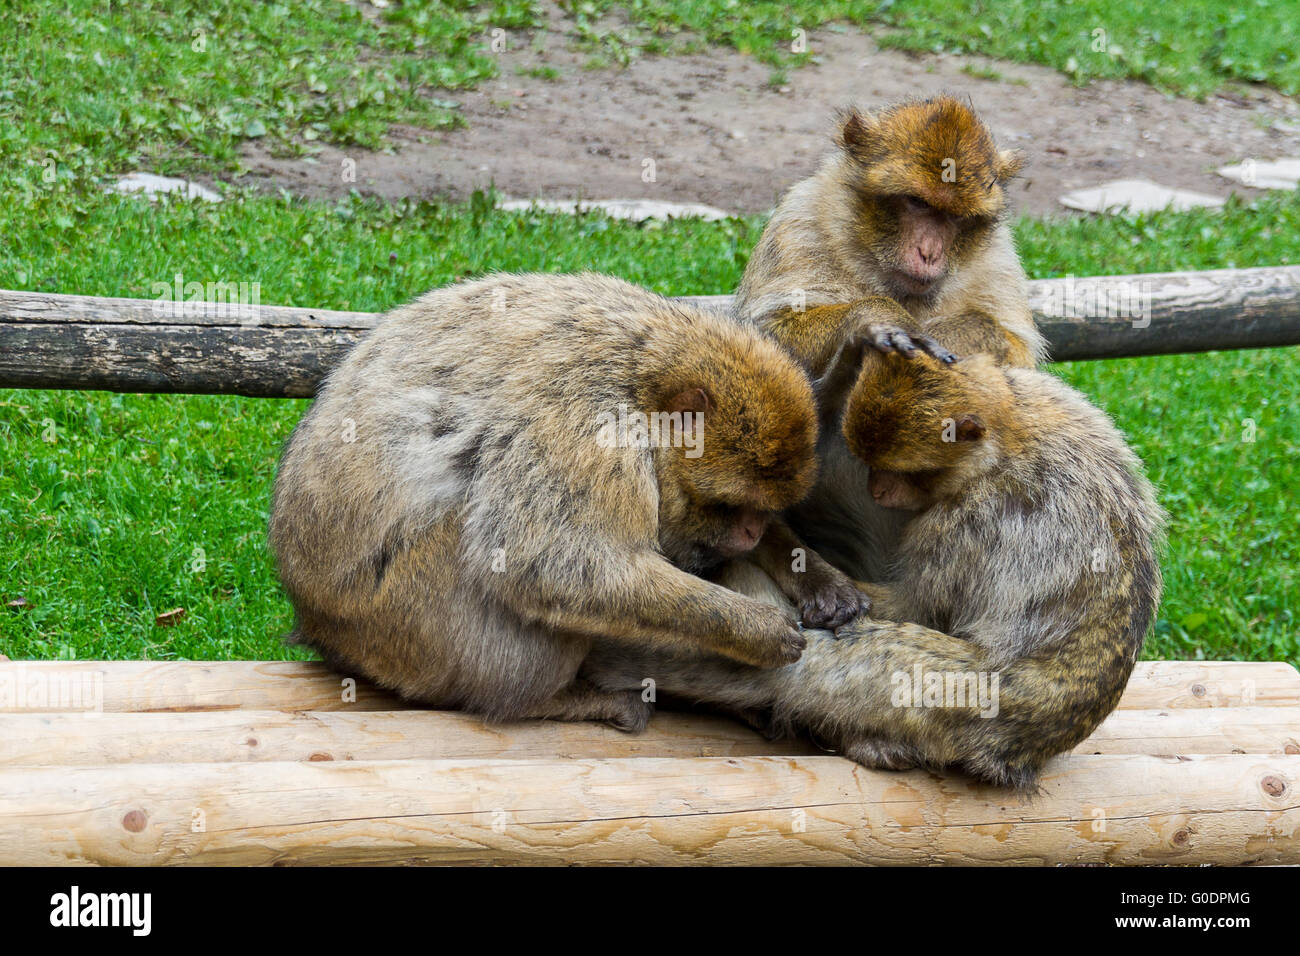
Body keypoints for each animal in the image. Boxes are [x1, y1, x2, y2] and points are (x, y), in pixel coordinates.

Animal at [270, 273, 868, 728]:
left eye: (761, 512)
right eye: (729, 506)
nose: (750, 532)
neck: (641, 375)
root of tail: (317, 625)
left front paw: (815, 576)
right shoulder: (589, 428)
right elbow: (556, 567)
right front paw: (753, 631)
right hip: (411, 624)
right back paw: (553, 701)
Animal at [585, 348, 1164, 790]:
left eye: (902, 471)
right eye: (876, 466)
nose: (877, 488)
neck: (1010, 430)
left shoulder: (964, 519)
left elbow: (918, 607)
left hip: (948, 696)